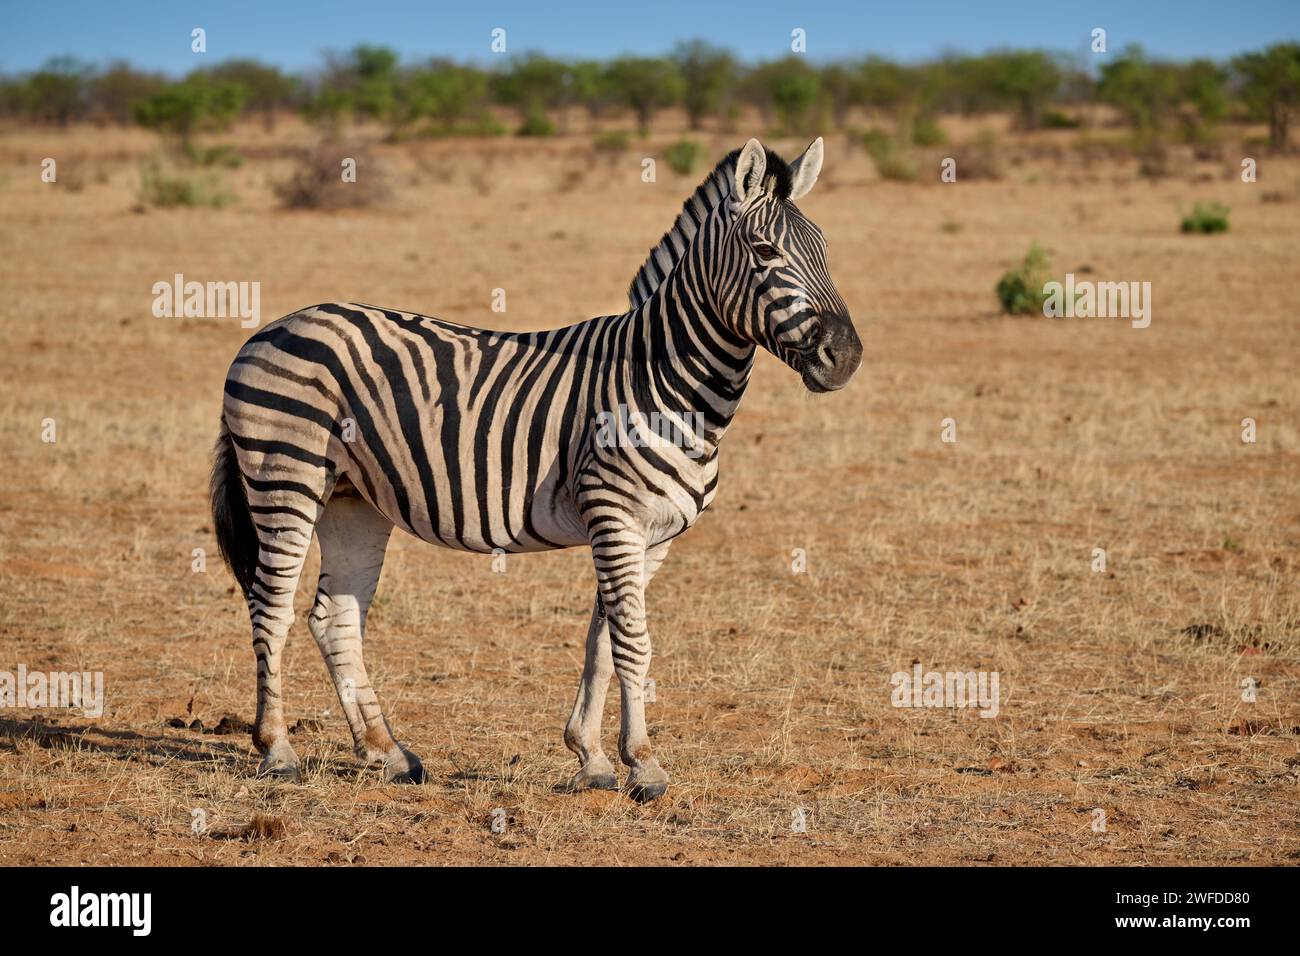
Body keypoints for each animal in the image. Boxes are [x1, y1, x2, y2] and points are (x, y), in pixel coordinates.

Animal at [210, 137, 862, 801]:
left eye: (825, 249)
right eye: (765, 251)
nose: (846, 357)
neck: (664, 381)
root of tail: (273, 327)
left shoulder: (649, 536)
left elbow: (604, 641)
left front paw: (593, 758)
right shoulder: (614, 515)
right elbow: (634, 642)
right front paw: (644, 765)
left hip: (351, 498)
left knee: (334, 618)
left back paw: (386, 752)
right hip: (285, 476)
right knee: (271, 608)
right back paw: (277, 750)